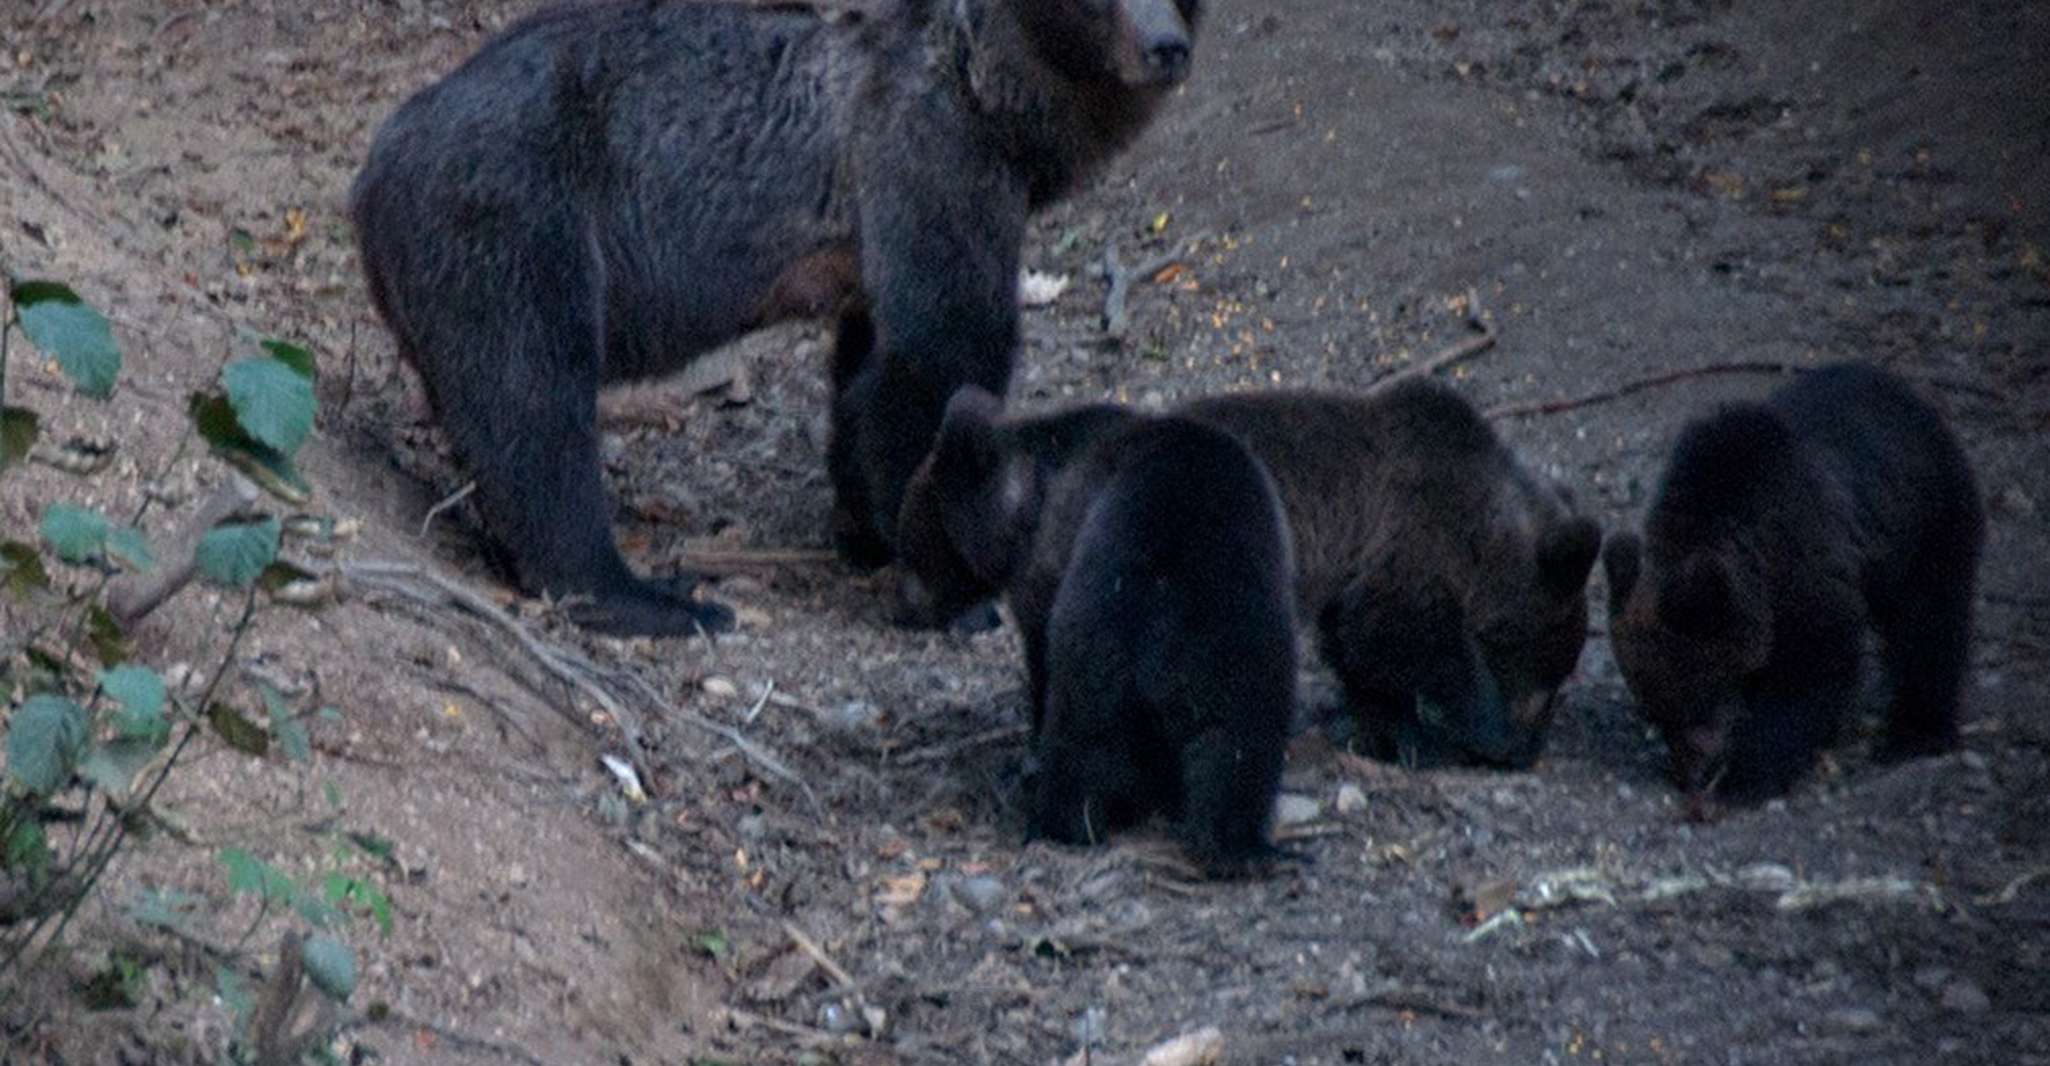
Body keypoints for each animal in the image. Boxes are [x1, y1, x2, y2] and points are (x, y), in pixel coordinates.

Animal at [350, 0, 1203, 635]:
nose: (1166, 46)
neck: (998, 103)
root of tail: (373, 165)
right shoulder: (927, 159)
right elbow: (941, 356)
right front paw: (949, 585)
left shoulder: (874, 250)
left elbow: (865, 378)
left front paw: (863, 529)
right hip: (516, 222)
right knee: (534, 406)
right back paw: (655, 595)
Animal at [897, 379, 1602, 770]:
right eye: (1555, 671)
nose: (1530, 749)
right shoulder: (1406, 547)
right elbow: (1404, 640)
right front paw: (1468, 727)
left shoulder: (1360, 569)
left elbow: (1363, 650)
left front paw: (1381, 724)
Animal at [899, 387, 1298, 875]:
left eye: (910, 544)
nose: (905, 607)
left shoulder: (1045, 568)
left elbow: (1039, 658)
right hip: (1244, 644)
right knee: (1240, 746)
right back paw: (1241, 845)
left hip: (1102, 633)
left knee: (1082, 736)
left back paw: (1058, 820)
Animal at [1603, 362, 1984, 811]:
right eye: (1655, 711)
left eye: (1696, 695)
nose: (1687, 774)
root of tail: (1917, 400)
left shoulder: (1808, 570)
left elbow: (1810, 675)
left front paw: (1744, 776)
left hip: (1926, 524)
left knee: (1930, 624)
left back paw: (1916, 733)